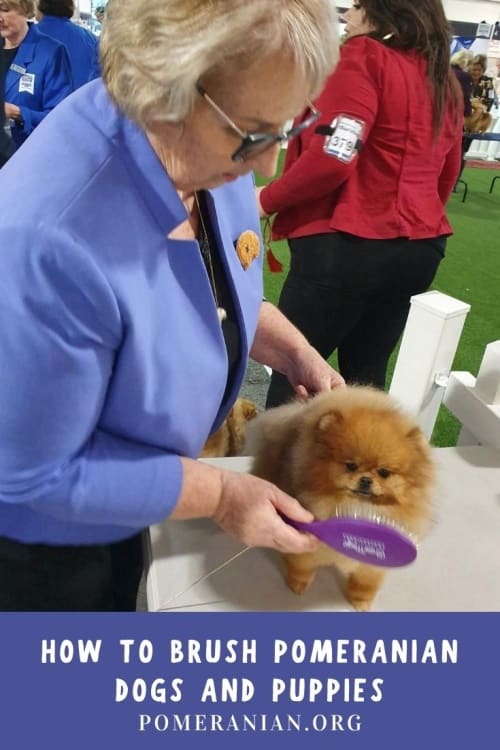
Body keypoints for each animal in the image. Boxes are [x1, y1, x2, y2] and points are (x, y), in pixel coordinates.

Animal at [245, 388, 434, 612]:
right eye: (350, 466)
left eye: (384, 472)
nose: (366, 480)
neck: (355, 507)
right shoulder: (306, 549)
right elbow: (301, 568)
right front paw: (297, 587)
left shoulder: (372, 564)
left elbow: (364, 584)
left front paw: (361, 603)